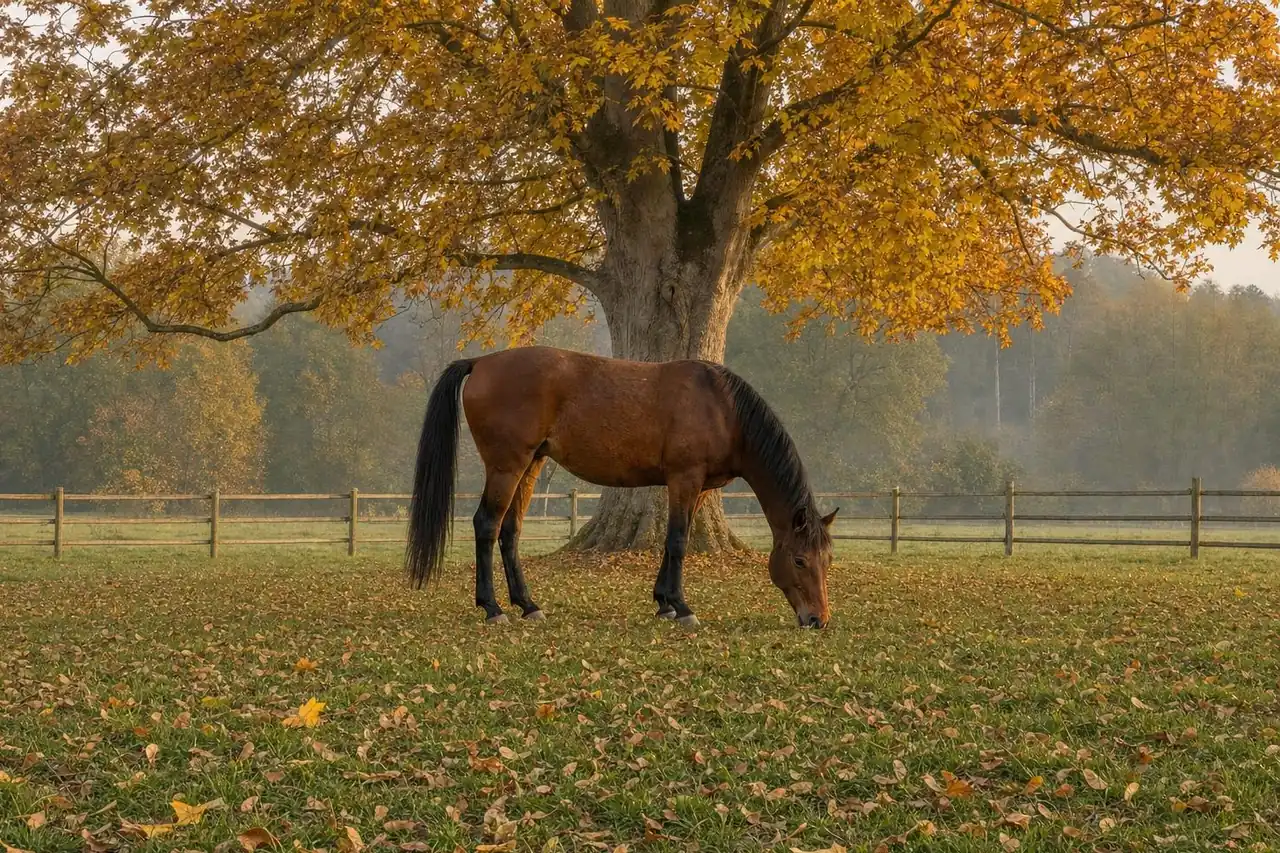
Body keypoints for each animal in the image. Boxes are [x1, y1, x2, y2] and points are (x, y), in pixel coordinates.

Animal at [405, 346, 837, 628]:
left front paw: (664, 603)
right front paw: (682, 608)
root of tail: (482, 362)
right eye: (800, 560)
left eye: (827, 559)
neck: (722, 406)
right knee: (486, 525)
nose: (817, 619)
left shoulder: (697, 488)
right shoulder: (685, 478)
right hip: (506, 467)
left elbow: (673, 539)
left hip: (530, 465)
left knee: (510, 532)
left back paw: (528, 605)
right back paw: (492, 608)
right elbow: (677, 541)